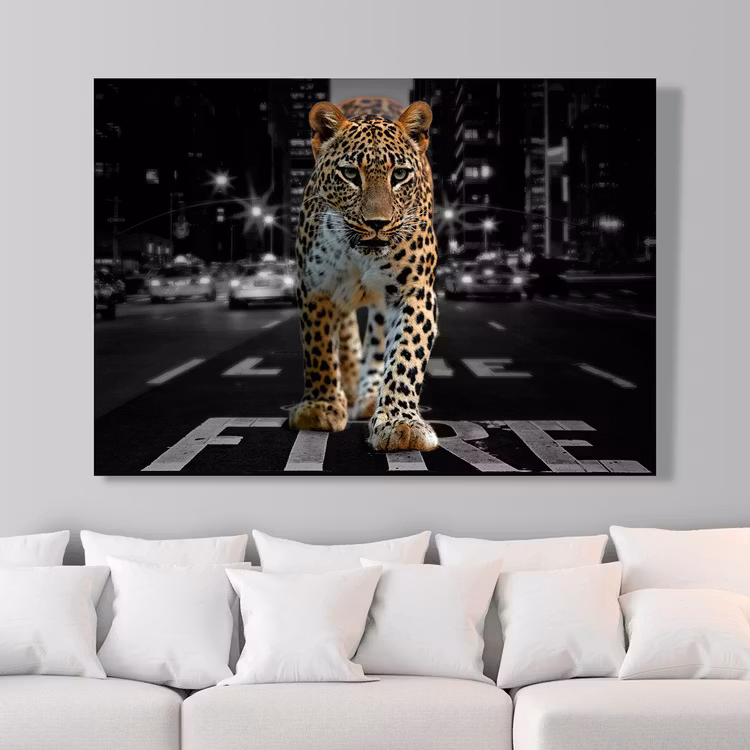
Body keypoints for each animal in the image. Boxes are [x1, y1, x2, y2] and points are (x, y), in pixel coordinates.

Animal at [287, 96, 439, 452]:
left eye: (399, 175)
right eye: (349, 174)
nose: (377, 223)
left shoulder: (415, 290)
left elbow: (406, 354)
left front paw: (400, 423)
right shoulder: (315, 287)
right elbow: (317, 347)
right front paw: (320, 407)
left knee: (377, 342)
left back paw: (370, 396)